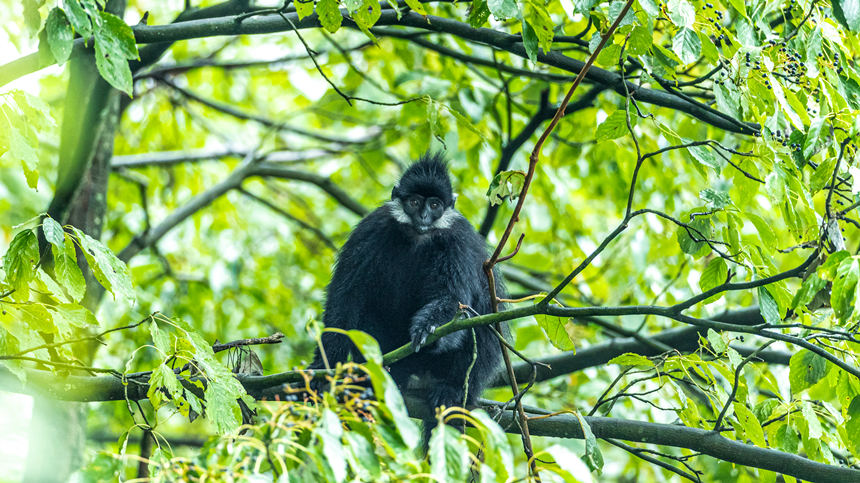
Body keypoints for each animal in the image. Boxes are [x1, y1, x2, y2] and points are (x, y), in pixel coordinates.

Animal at [312, 155, 508, 434]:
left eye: (435, 204)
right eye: (415, 202)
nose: (424, 215)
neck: (418, 235)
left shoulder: (456, 239)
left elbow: (453, 300)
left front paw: (427, 329)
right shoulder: (371, 228)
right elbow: (345, 296)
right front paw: (324, 367)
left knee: (484, 320)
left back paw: (451, 389)